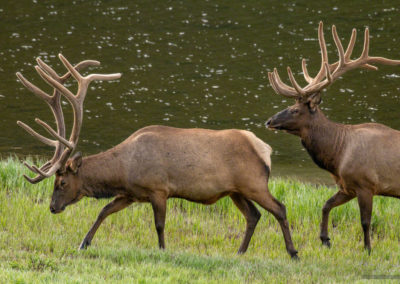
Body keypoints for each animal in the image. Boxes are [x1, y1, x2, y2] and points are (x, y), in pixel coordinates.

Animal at [17, 53, 298, 258]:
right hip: (235, 191)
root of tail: (265, 149)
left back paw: (293, 252)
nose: (53, 207)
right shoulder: (130, 194)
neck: (124, 170)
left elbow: (159, 224)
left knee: (279, 208)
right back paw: (240, 252)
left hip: (254, 183)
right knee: (254, 215)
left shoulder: (158, 189)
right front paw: (84, 243)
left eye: (62, 182)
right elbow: (104, 211)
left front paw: (163, 250)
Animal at [266, 22, 400, 253]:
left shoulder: (366, 184)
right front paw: (325, 239)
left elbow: (365, 221)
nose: (269, 121)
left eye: (294, 110)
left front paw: (368, 249)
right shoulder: (347, 187)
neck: (337, 156)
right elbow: (326, 205)